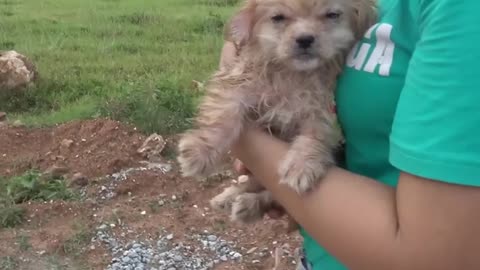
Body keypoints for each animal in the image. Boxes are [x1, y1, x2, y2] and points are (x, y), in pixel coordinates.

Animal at [178, 0, 376, 224]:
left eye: (332, 15)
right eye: (278, 18)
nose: (305, 38)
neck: (293, 75)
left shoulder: (324, 109)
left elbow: (316, 134)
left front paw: (301, 165)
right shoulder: (240, 84)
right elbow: (223, 114)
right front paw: (199, 152)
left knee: (270, 194)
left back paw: (248, 205)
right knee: (253, 183)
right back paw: (227, 198)